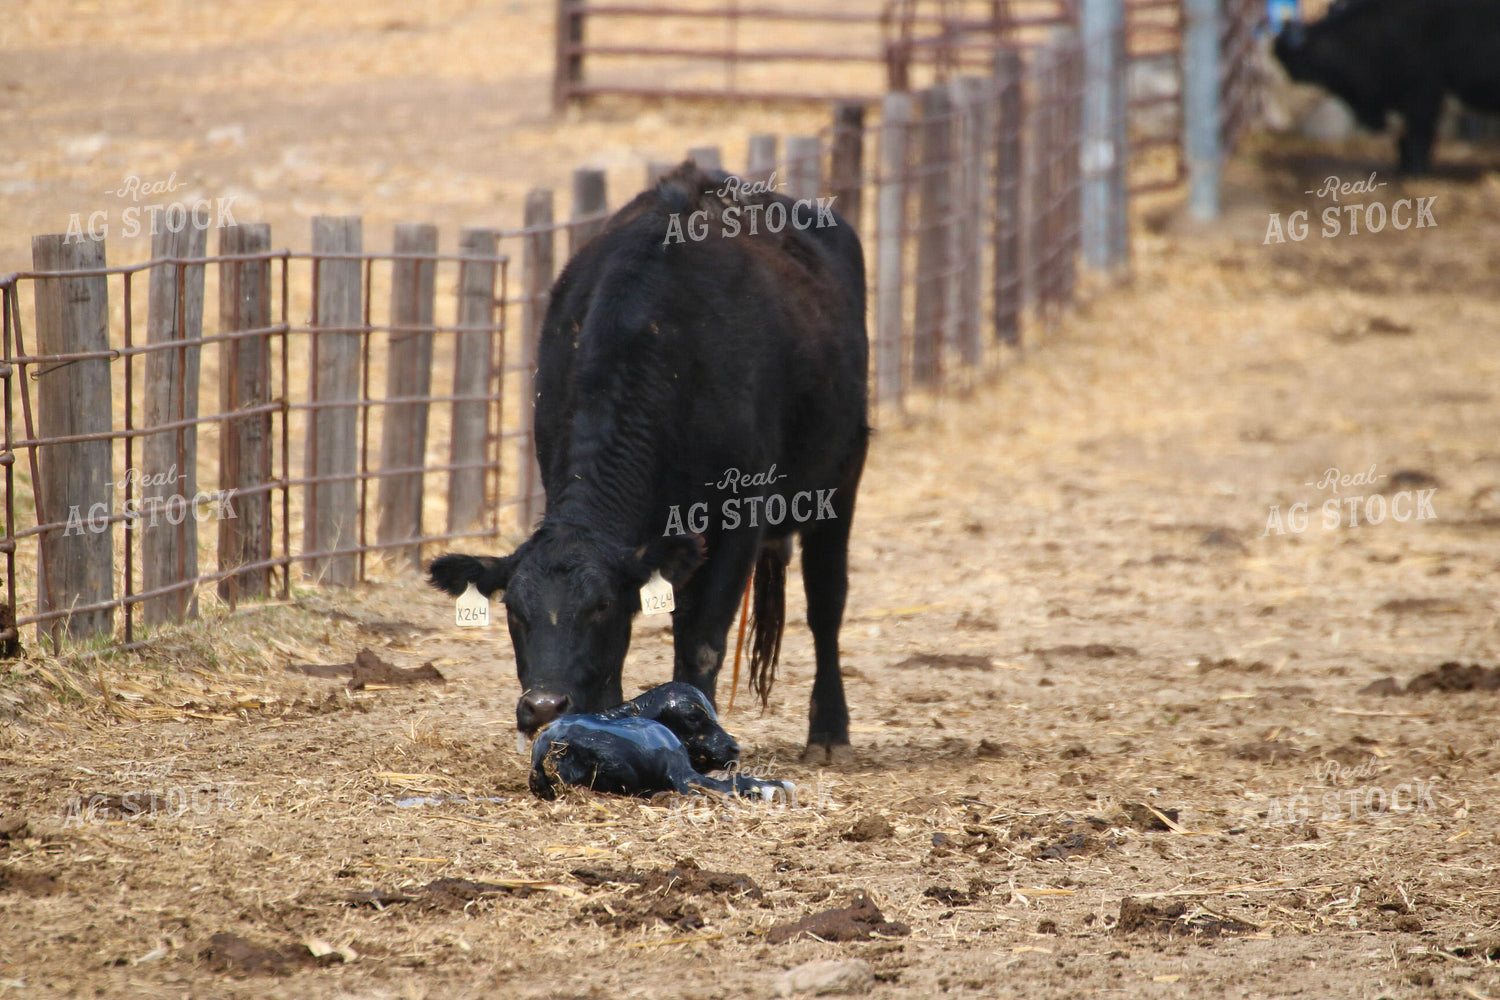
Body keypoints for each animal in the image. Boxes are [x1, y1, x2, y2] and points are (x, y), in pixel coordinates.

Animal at [428, 161, 868, 761]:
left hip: (841, 477)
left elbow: (701, 642)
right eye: (514, 611)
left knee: (827, 602)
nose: (543, 707)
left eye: (599, 606)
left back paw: (828, 731)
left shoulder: (738, 521)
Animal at [1273, 0, 1500, 173]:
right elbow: (1405, 140)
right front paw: (1404, 166)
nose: (1277, 45)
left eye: (1295, 59)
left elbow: (1418, 136)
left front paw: (1415, 171)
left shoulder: (1424, 94)